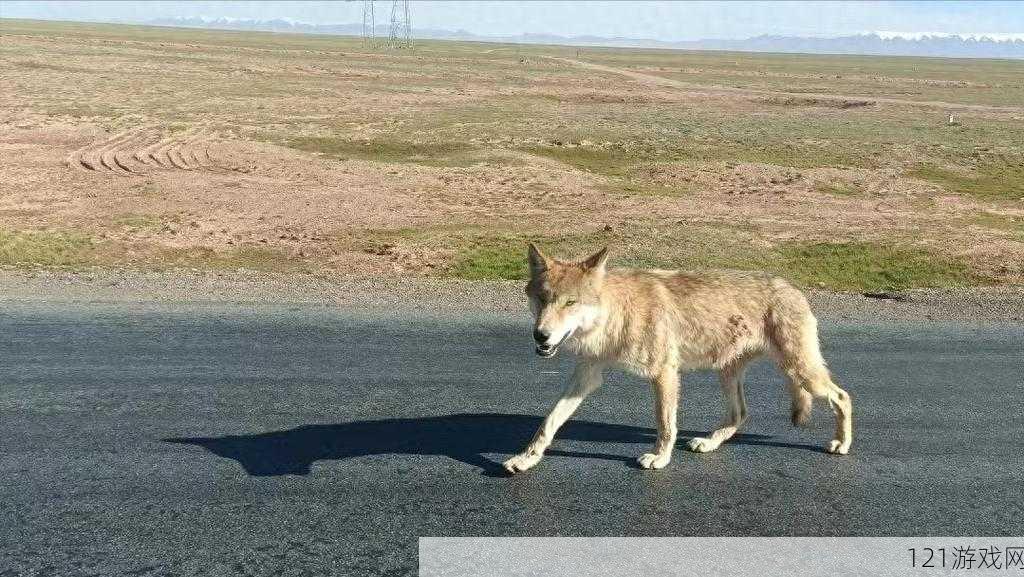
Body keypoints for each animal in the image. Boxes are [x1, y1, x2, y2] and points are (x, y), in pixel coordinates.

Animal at [499, 243, 851, 473]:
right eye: (542, 299)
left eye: (570, 303)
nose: (540, 336)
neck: (618, 314)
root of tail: (793, 287)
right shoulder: (586, 376)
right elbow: (549, 422)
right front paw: (526, 458)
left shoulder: (664, 374)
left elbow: (665, 424)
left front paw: (659, 459)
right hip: (730, 374)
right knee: (740, 414)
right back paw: (708, 443)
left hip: (799, 372)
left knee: (843, 397)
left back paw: (841, 445)